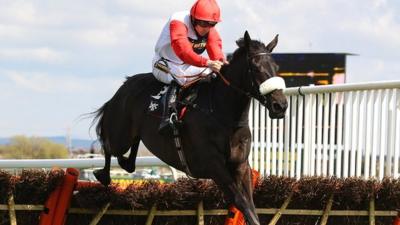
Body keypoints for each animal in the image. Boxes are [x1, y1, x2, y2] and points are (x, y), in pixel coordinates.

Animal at [93, 31, 288, 225]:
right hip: (120, 136)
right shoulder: (213, 165)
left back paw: (125, 163)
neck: (223, 113)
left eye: (276, 66)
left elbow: (251, 205)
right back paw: (103, 174)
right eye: (255, 67)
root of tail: (123, 86)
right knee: (109, 146)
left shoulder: (241, 164)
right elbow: (241, 201)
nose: (281, 105)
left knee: (129, 155)